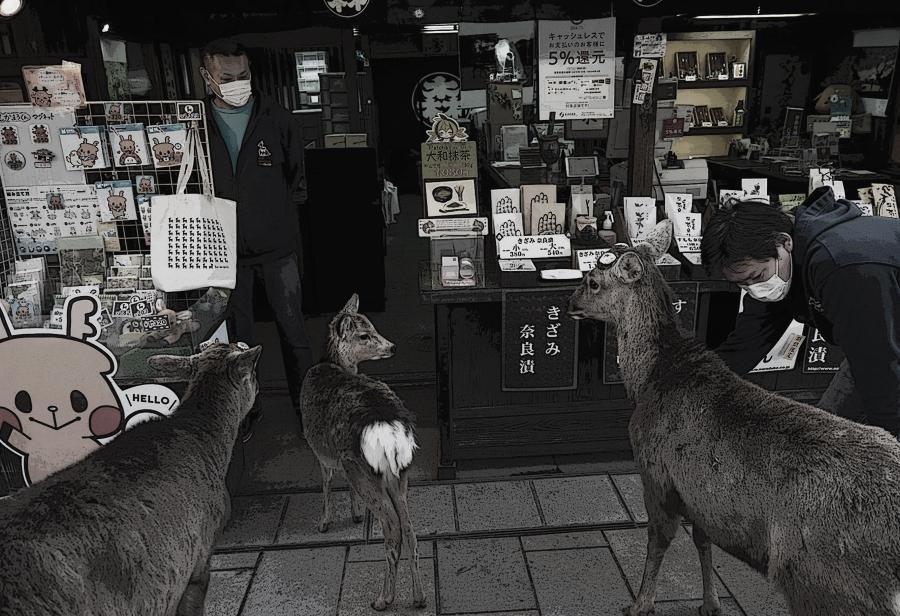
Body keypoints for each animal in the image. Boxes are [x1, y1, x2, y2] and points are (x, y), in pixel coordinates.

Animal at [300, 294, 428, 612]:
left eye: (372, 328)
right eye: (364, 334)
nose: (392, 346)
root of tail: (388, 433)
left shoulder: (320, 450)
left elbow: (326, 482)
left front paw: (324, 522)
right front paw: (356, 515)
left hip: (366, 471)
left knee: (393, 527)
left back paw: (383, 599)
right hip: (399, 474)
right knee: (409, 528)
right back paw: (419, 597)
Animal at [568, 221, 900, 616]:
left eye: (592, 281)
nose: (570, 303)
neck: (650, 380)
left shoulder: (656, 473)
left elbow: (658, 542)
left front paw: (640, 604)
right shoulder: (702, 497)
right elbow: (703, 541)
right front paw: (711, 603)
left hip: (824, 579)